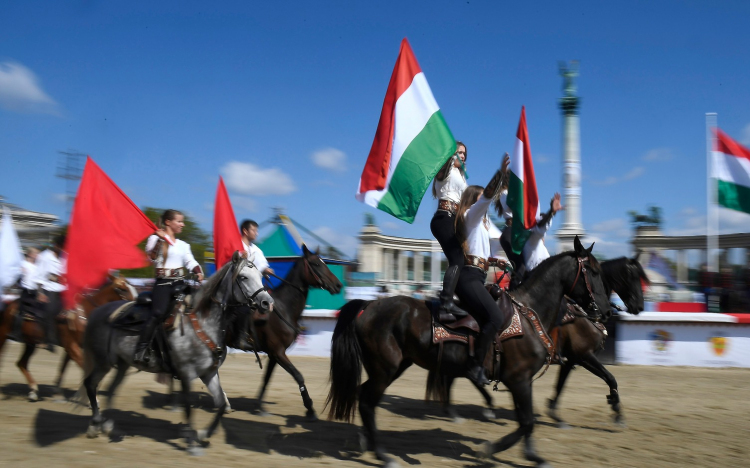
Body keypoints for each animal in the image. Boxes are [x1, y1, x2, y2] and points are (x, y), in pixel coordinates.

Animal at [0, 276, 134, 400]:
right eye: (123, 289)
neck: (85, 313)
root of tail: (10, 306)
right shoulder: (71, 346)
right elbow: (85, 369)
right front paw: (91, 398)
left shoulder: (72, 347)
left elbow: (64, 368)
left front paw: (60, 393)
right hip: (4, 335)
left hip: (30, 343)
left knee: (21, 363)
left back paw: (33, 391)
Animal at [81, 252, 274, 454]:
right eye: (243, 277)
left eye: (260, 276)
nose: (267, 303)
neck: (202, 322)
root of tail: (97, 311)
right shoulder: (186, 373)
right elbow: (188, 406)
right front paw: (192, 443)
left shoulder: (209, 373)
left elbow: (221, 405)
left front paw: (203, 434)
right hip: (103, 362)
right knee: (90, 384)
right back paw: (96, 424)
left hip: (122, 365)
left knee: (110, 390)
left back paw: (109, 426)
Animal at [328, 238, 616, 468]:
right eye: (592, 271)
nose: (607, 310)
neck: (529, 314)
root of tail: (369, 305)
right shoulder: (519, 379)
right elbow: (526, 422)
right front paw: (490, 451)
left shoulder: (524, 381)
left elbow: (526, 420)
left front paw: (532, 455)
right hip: (385, 369)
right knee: (367, 402)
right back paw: (383, 455)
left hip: (395, 366)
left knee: (364, 396)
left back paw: (366, 440)